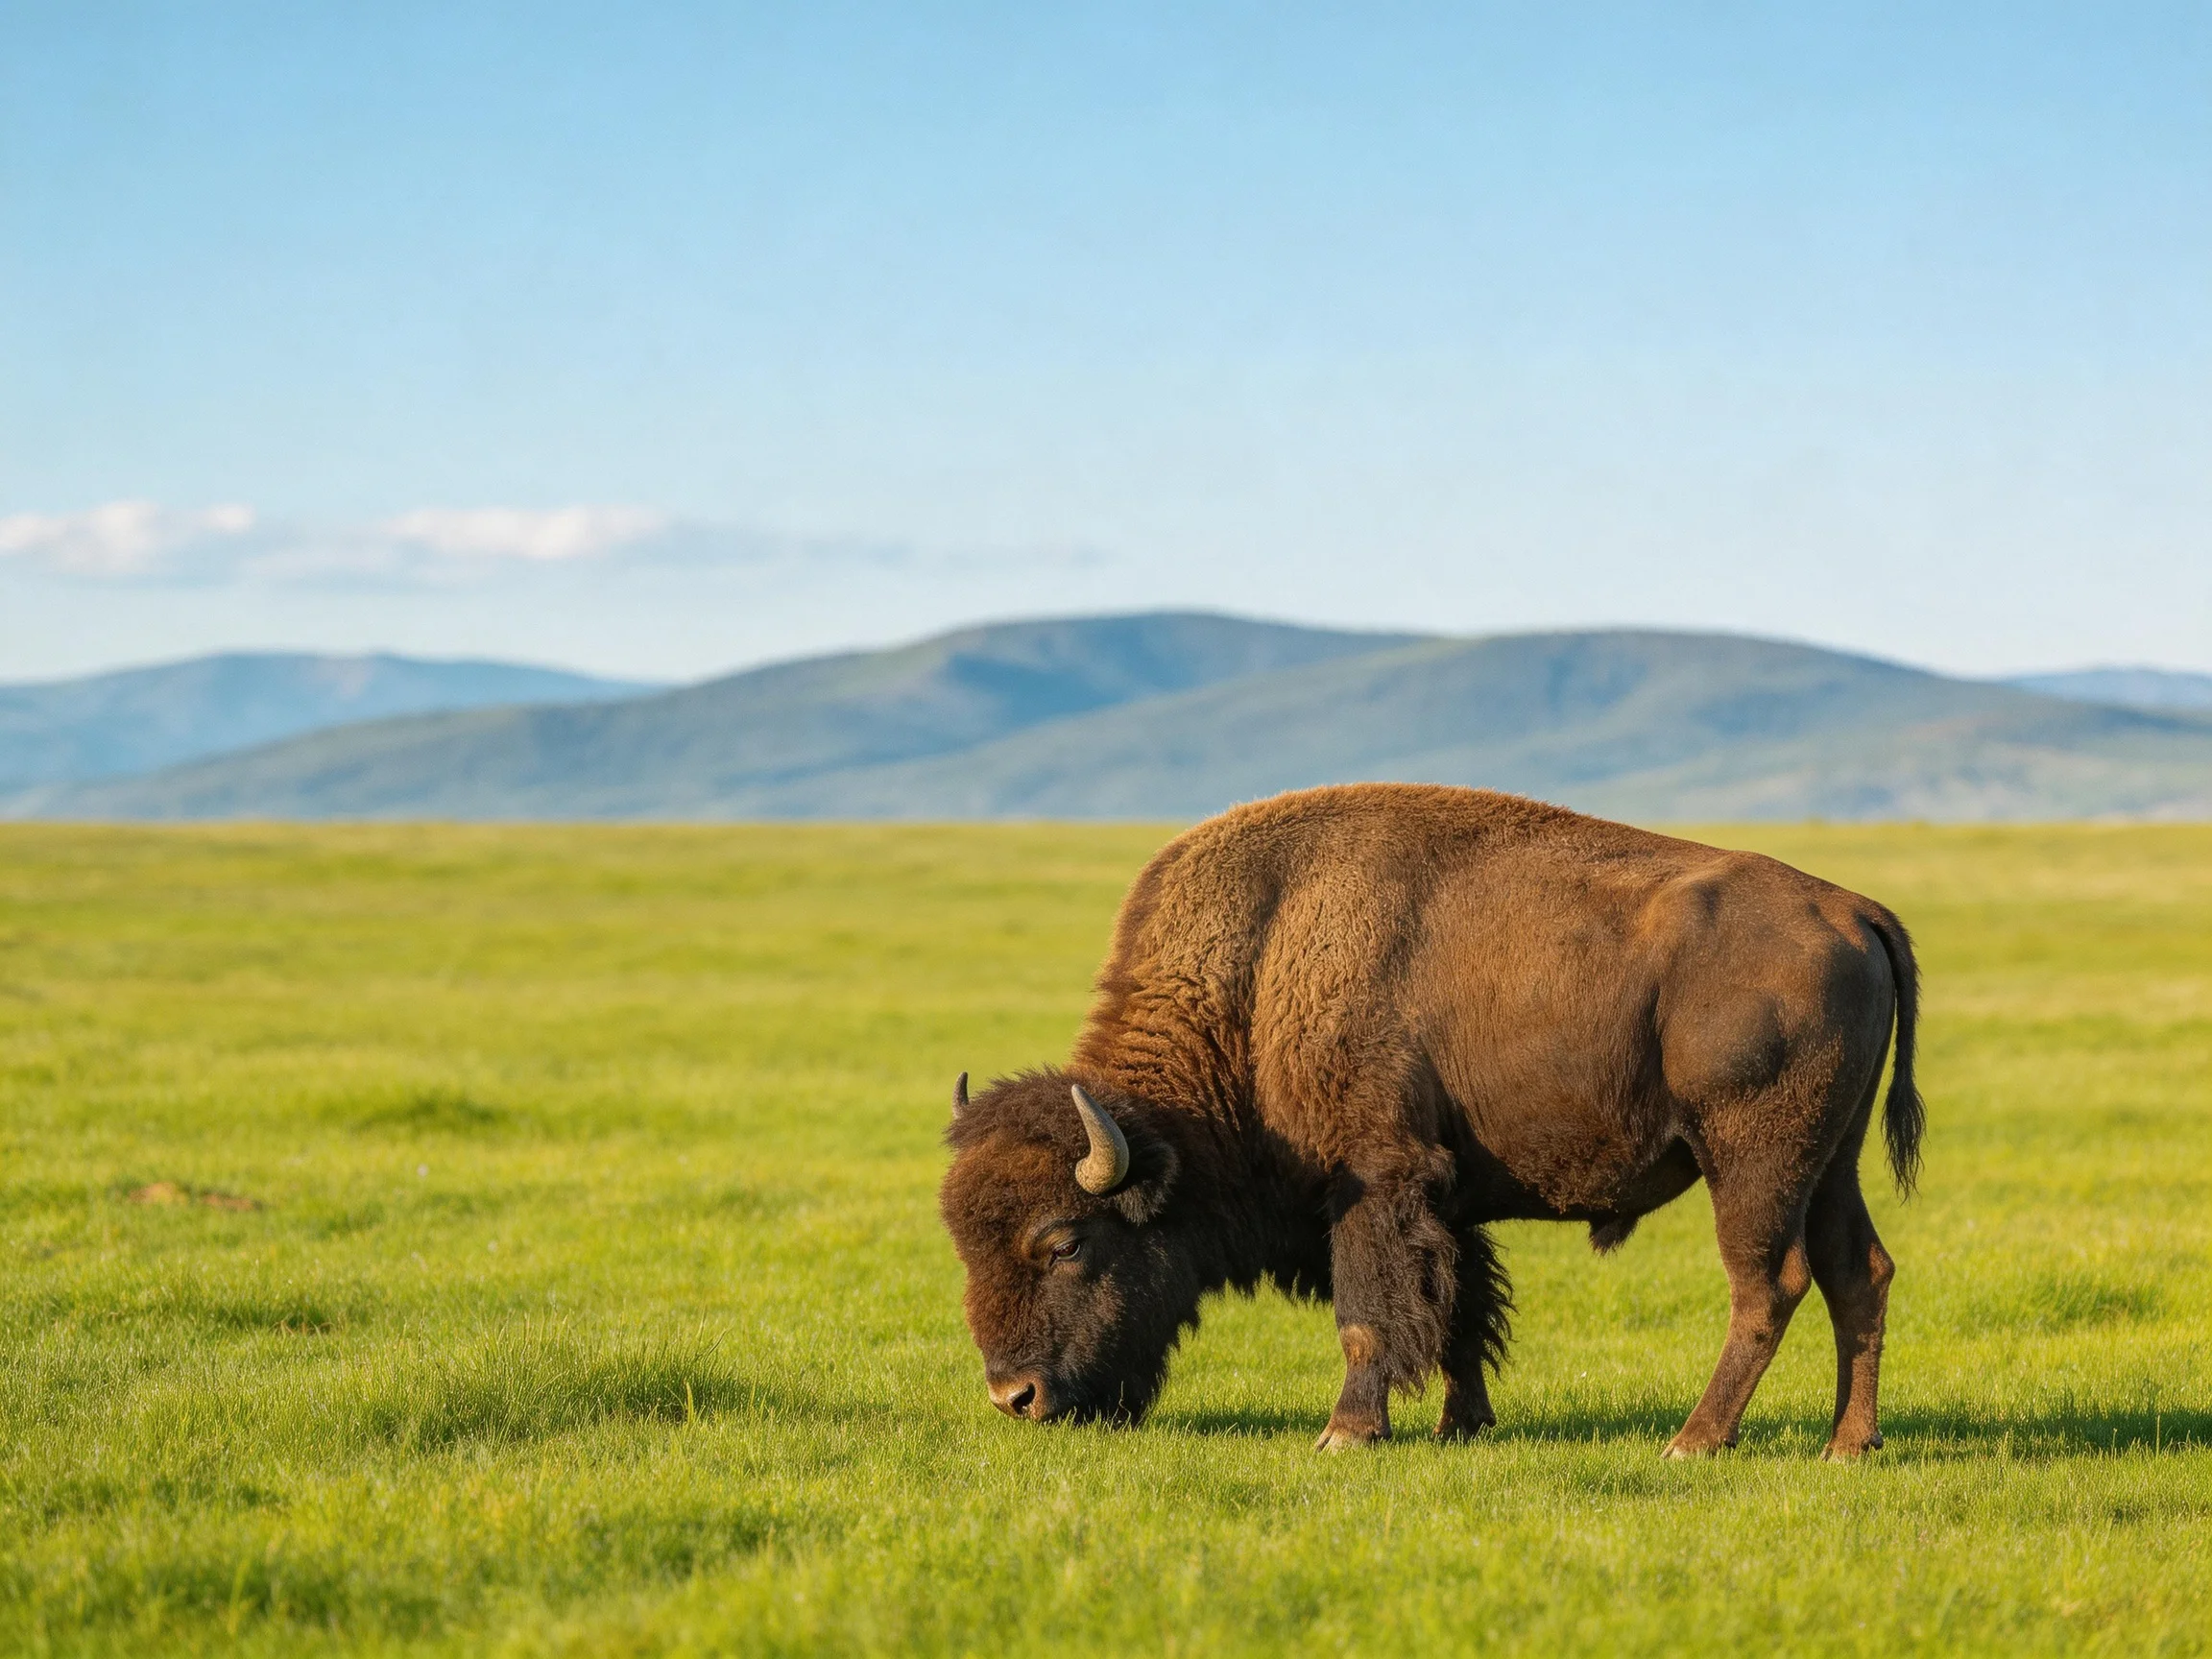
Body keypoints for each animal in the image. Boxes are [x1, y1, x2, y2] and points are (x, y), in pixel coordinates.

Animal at [940, 784, 1921, 1458]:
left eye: (1065, 1242)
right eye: (962, 1243)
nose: (1015, 1398)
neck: (1260, 973)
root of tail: (1853, 908)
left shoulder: (1376, 1180)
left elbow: (1370, 1311)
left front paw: (1347, 1432)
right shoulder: (1444, 1199)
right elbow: (1459, 1311)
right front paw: (1463, 1424)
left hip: (1752, 1161)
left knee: (1770, 1283)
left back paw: (1694, 1441)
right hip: (1830, 1162)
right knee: (1858, 1271)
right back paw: (1847, 1445)